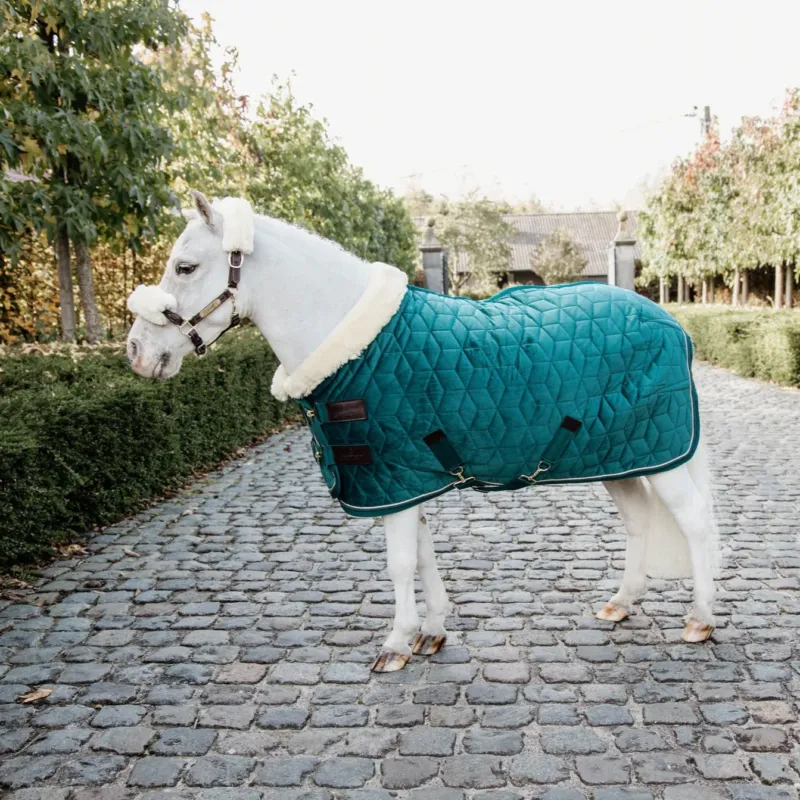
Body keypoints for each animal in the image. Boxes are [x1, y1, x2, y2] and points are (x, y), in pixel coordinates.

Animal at [125, 190, 719, 673]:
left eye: (185, 266)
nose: (137, 354)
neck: (358, 346)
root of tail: (674, 324)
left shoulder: (393, 477)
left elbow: (400, 562)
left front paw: (396, 643)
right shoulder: (408, 479)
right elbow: (425, 554)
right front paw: (431, 633)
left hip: (662, 456)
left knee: (693, 524)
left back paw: (700, 619)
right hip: (625, 457)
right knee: (640, 523)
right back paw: (622, 603)